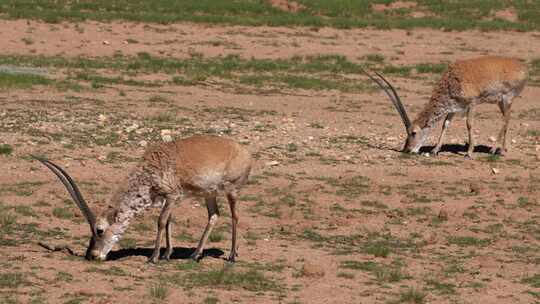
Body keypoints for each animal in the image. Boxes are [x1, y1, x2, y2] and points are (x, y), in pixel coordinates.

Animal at [32, 135, 252, 264]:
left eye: (99, 230)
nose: (93, 256)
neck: (150, 168)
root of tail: (245, 152)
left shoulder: (172, 196)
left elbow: (161, 222)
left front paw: (154, 257)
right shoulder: (167, 199)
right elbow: (168, 223)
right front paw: (166, 254)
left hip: (232, 190)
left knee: (235, 216)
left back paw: (231, 256)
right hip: (209, 194)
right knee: (214, 216)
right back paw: (195, 255)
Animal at [362, 55, 528, 158]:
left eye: (413, 132)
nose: (407, 150)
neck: (450, 81)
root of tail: (523, 68)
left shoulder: (472, 103)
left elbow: (469, 124)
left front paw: (469, 152)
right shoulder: (454, 107)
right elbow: (445, 124)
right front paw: (435, 150)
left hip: (506, 98)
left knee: (506, 119)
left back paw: (494, 149)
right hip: (501, 102)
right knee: (507, 118)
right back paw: (503, 150)